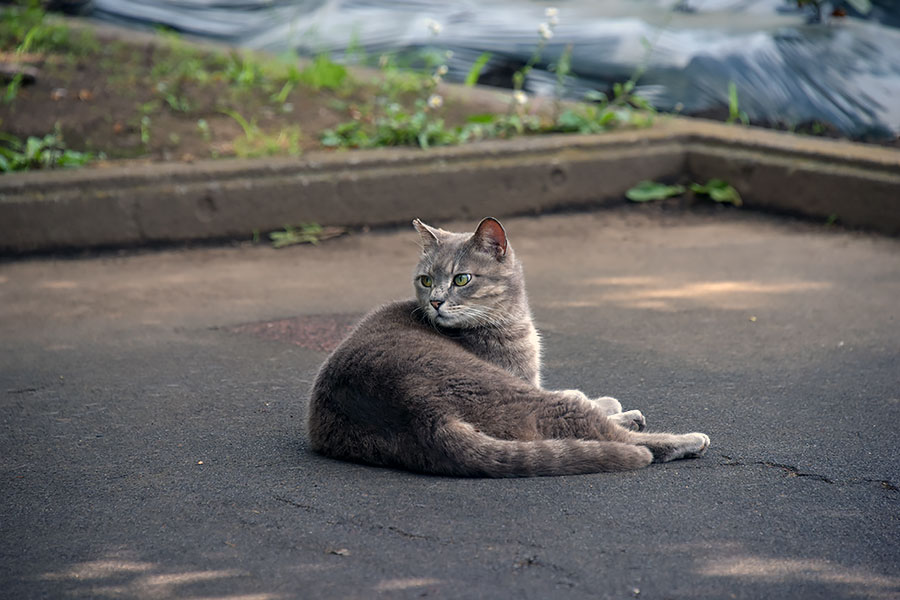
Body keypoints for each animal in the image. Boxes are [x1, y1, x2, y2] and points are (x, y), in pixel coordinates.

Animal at [310, 218, 712, 476]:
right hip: (520, 397)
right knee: (606, 433)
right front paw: (613, 406)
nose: (435, 301)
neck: (511, 322)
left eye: (462, 279)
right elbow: (579, 397)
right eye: (426, 280)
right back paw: (685, 438)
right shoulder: (526, 380)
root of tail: (419, 417)